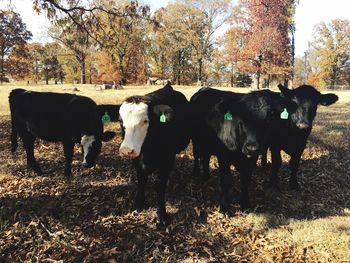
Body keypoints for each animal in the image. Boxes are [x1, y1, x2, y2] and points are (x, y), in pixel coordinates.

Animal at [118, 83, 190, 227]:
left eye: (146, 121)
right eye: (120, 121)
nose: (126, 150)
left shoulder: (167, 159)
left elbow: (159, 186)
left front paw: (161, 215)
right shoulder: (137, 159)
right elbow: (141, 180)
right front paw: (139, 203)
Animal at [190, 87, 296, 216]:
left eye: (269, 119)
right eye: (241, 119)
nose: (252, 148)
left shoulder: (251, 160)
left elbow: (245, 180)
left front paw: (245, 204)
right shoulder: (223, 156)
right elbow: (225, 180)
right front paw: (224, 208)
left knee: (206, 157)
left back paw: (206, 176)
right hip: (195, 139)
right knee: (196, 155)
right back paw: (196, 173)